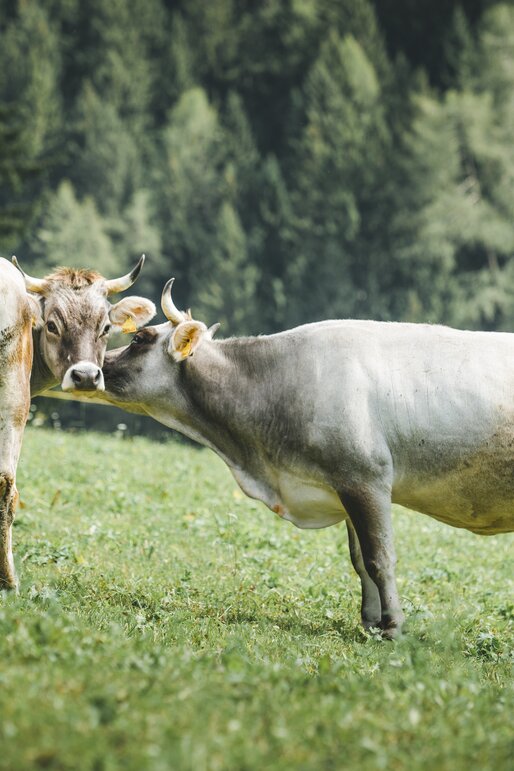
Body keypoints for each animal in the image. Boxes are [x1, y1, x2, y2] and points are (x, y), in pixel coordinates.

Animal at [97, 279, 513, 638]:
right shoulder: (342, 484)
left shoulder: (367, 479)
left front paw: (393, 627)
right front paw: (370, 623)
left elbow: (380, 559)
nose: (96, 369)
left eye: (138, 338)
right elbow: (360, 561)